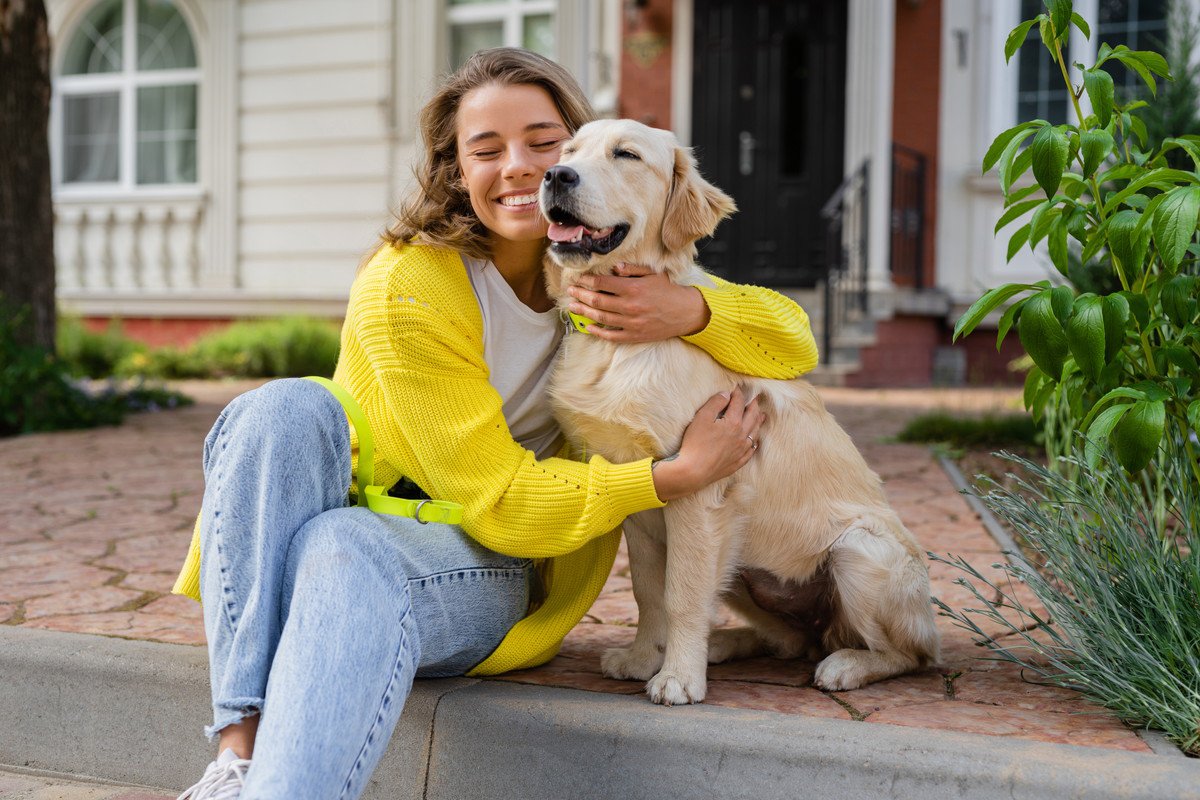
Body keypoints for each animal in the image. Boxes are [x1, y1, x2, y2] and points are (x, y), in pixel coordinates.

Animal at [540, 118, 940, 705]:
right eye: (568, 150)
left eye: (626, 155)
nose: (556, 176)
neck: (617, 342)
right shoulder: (635, 490)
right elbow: (647, 592)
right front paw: (643, 659)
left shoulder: (699, 491)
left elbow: (681, 594)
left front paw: (678, 678)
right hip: (743, 568)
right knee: (790, 641)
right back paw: (727, 644)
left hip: (858, 551)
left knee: (909, 655)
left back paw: (847, 666)